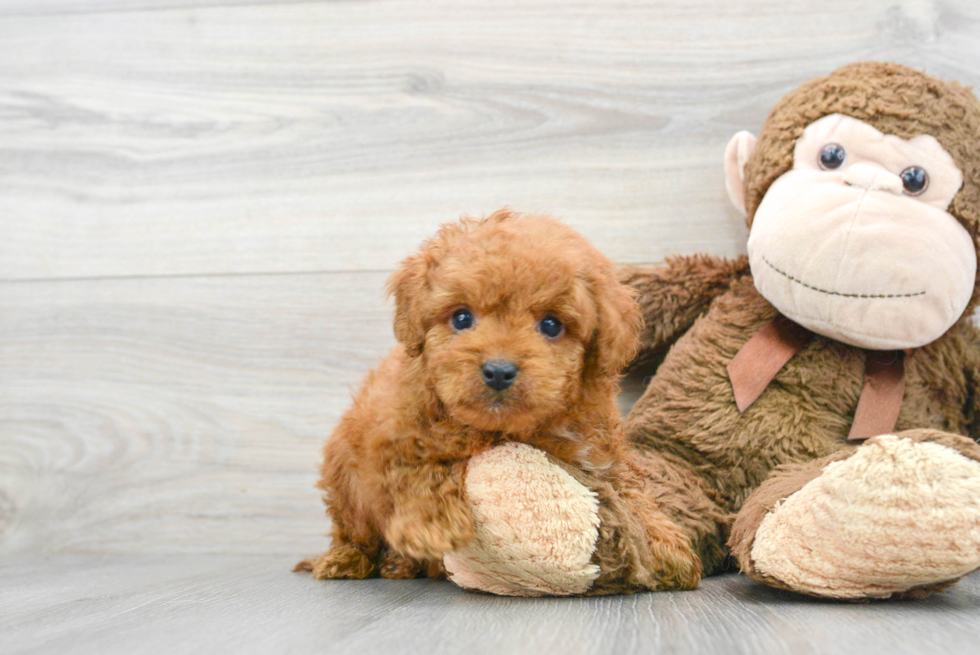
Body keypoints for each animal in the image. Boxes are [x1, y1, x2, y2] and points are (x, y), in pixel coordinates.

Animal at [298, 209, 652, 580]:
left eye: (551, 325)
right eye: (462, 318)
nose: (498, 371)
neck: (499, 429)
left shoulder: (595, 450)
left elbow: (624, 492)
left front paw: (660, 542)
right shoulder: (390, 434)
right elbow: (418, 468)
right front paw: (431, 526)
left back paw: (399, 563)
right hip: (343, 482)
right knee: (353, 530)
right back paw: (347, 559)